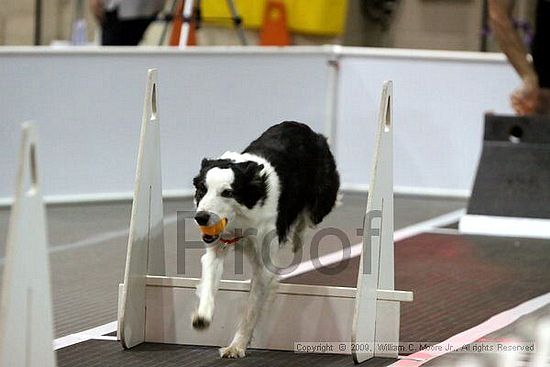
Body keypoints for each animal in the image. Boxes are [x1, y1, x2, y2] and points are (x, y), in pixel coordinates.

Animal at [193, 121, 340, 360]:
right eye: (202, 190)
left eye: (227, 192)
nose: (201, 217)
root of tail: (306, 128)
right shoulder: (216, 248)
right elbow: (208, 283)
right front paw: (202, 317)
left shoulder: (264, 265)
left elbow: (251, 308)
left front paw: (237, 346)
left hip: (321, 202)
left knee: (307, 218)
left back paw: (297, 238)